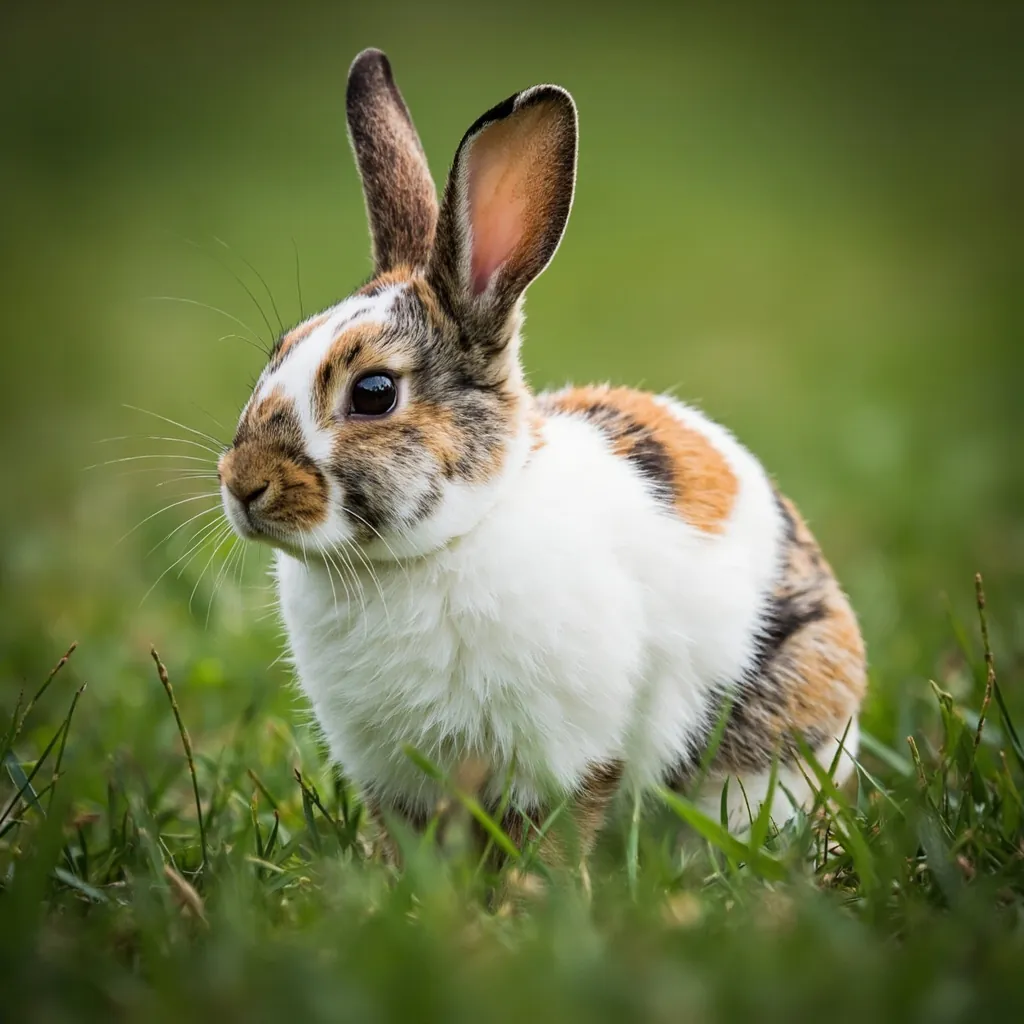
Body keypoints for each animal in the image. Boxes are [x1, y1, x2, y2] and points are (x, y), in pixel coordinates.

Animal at [216, 48, 867, 857]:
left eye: (373, 392)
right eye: (275, 355)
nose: (241, 485)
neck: (436, 546)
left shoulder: (570, 750)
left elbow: (555, 834)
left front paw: (533, 889)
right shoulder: (391, 776)